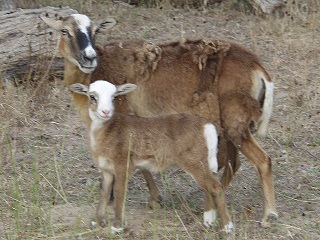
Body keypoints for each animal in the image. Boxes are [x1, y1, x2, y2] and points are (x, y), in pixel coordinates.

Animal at [70, 79, 232, 233]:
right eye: (92, 96)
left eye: (114, 97)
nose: (105, 112)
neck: (107, 131)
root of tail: (206, 126)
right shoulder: (106, 167)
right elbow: (103, 191)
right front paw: (98, 221)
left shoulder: (123, 162)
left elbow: (119, 191)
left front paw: (117, 227)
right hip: (203, 161)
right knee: (208, 186)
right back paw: (209, 221)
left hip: (193, 160)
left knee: (216, 187)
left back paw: (227, 227)